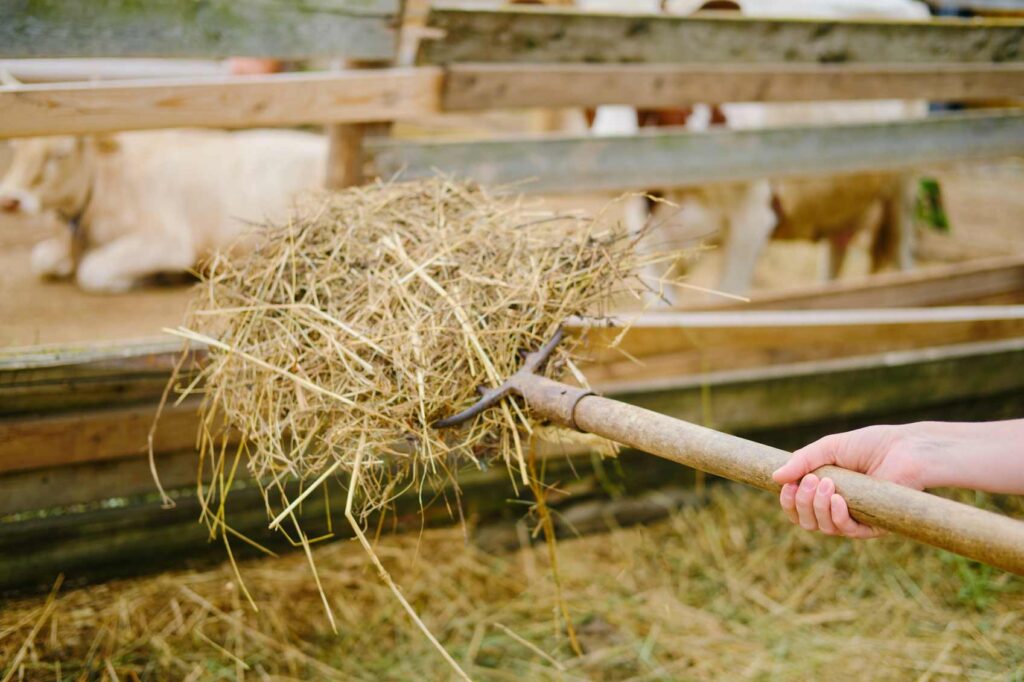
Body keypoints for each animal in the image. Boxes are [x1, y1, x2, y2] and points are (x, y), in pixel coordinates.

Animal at [0, 129, 325, 290]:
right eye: (15, 149)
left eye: (60, 153)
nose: (10, 200)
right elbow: (42, 258)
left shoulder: (168, 241)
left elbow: (91, 270)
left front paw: (152, 278)